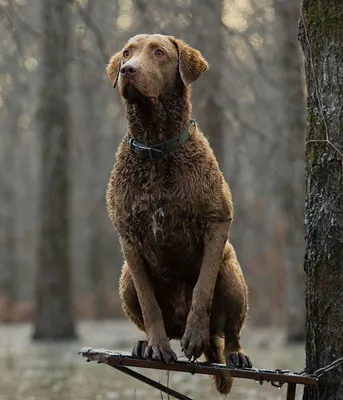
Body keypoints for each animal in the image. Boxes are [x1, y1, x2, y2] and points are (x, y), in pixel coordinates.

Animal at [106, 33, 251, 394]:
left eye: (159, 53)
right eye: (126, 53)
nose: (127, 70)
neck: (157, 149)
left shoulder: (217, 222)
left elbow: (202, 289)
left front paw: (194, 336)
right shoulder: (128, 237)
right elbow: (149, 303)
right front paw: (157, 346)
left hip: (232, 271)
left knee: (230, 331)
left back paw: (234, 352)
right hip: (124, 278)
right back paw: (143, 344)